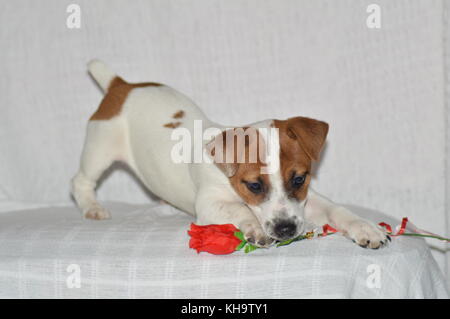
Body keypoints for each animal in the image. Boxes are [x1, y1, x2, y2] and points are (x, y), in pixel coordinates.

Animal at [72, 60, 388, 250]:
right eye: (255, 185)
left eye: (299, 179)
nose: (286, 229)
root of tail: (122, 86)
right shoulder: (210, 205)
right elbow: (240, 209)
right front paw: (254, 227)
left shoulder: (308, 199)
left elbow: (338, 210)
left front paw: (366, 227)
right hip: (100, 148)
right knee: (81, 181)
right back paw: (92, 207)